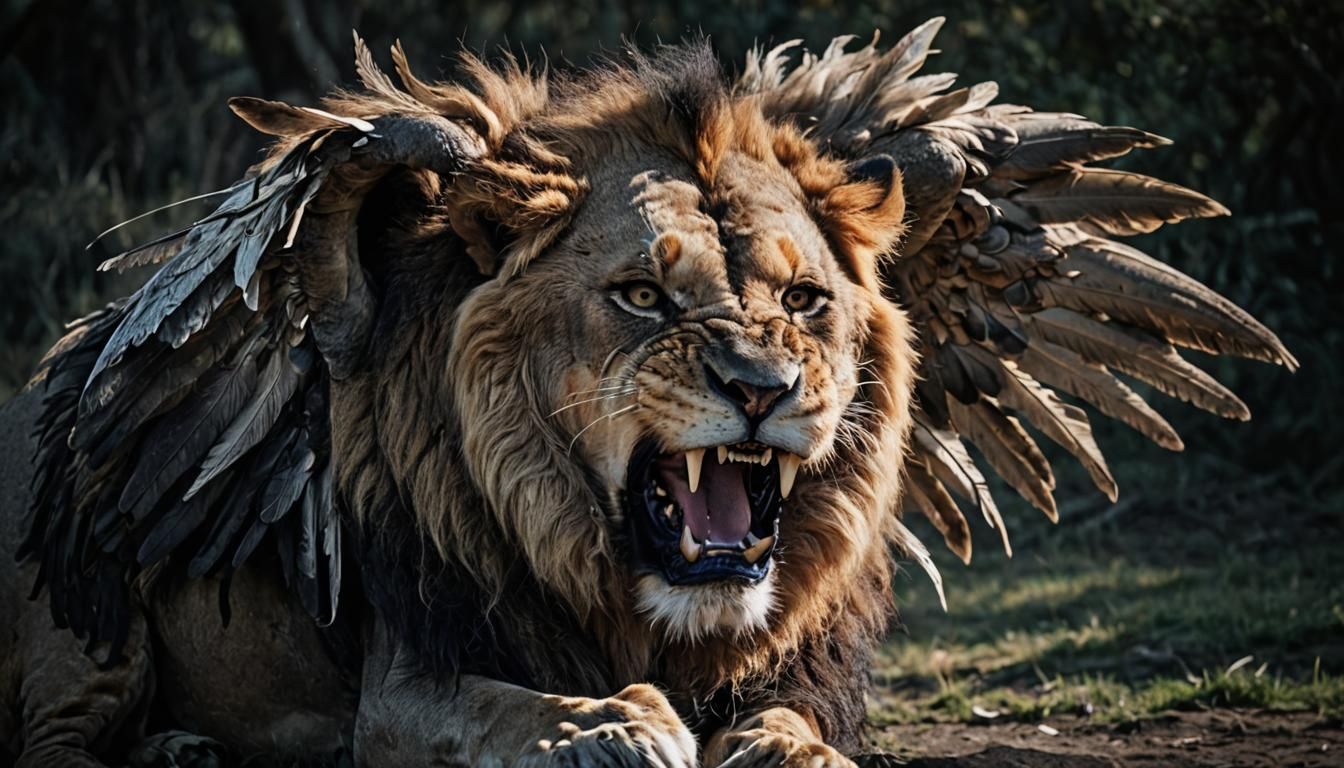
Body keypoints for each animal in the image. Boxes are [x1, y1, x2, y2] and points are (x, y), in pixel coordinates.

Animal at [1, 20, 1293, 767]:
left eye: (805, 301)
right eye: (639, 296)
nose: (762, 387)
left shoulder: (799, 666)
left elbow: (794, 725)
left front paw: (779, 753)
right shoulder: (404, 688)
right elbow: (511, 708)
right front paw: (612, 723)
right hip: (78, 610)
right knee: (52, 737)